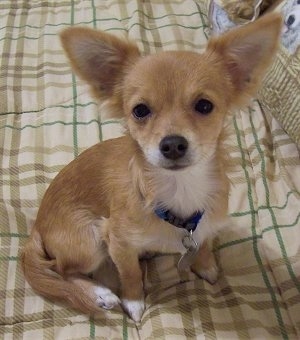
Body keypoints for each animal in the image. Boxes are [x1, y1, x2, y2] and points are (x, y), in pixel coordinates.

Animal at [22, 13, 282, 322]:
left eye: (205, 106)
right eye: (140, 110)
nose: (172, 144)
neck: (180, 190)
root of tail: (37, 226)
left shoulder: (207, 224)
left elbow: (205, 243)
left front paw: (206, 266)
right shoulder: (117, 241)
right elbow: (130, 273)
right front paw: (134, 301)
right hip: (89, 240)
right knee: (63, 270)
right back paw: (100, 293)